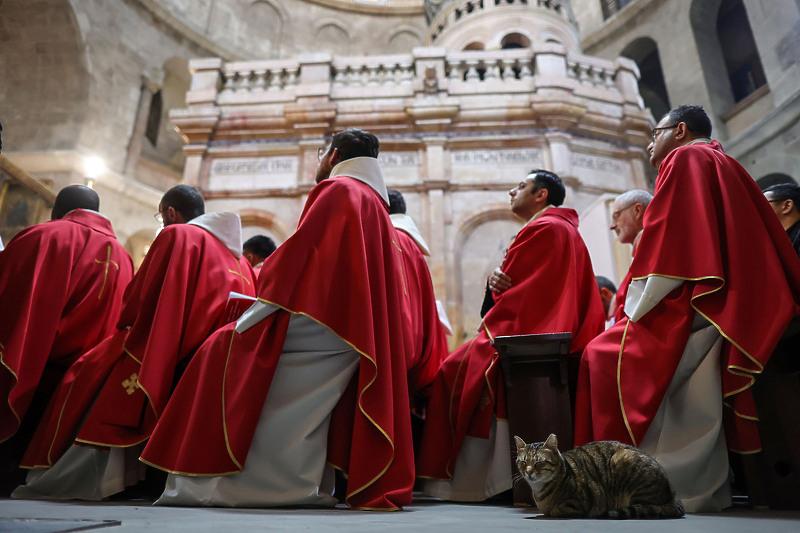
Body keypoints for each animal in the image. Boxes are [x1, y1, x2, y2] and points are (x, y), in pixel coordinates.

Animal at [516, 434, 684, 516]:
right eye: (523, 462)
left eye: (539, 463)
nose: (528, 472)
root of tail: (672, 496)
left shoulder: (579, 502)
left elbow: (556, 510)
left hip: (625, 462)